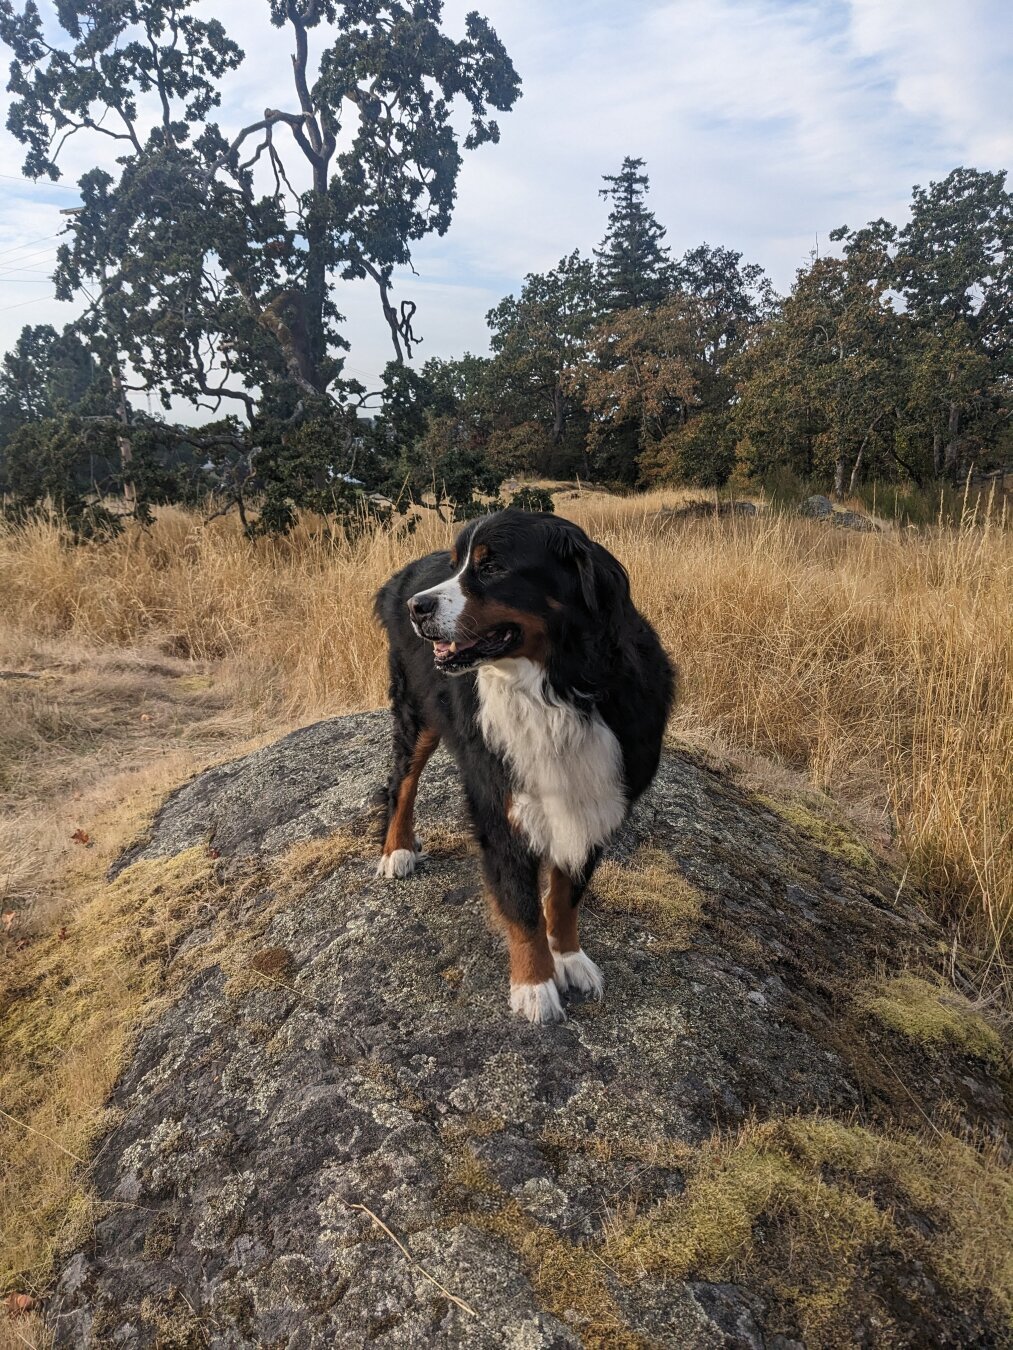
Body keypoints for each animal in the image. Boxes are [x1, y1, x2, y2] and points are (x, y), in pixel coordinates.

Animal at [372, 507, 675, 1020]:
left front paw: (568, 958)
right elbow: (521, 902)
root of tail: (401, 577)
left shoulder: (597, 796)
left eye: (492, 567)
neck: (557, 689)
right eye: (458, 565)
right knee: (401, 782)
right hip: (418, 712)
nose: (418, 607)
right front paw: (535, 986)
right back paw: (397, 850)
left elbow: (566, 894)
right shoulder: (502, 802)